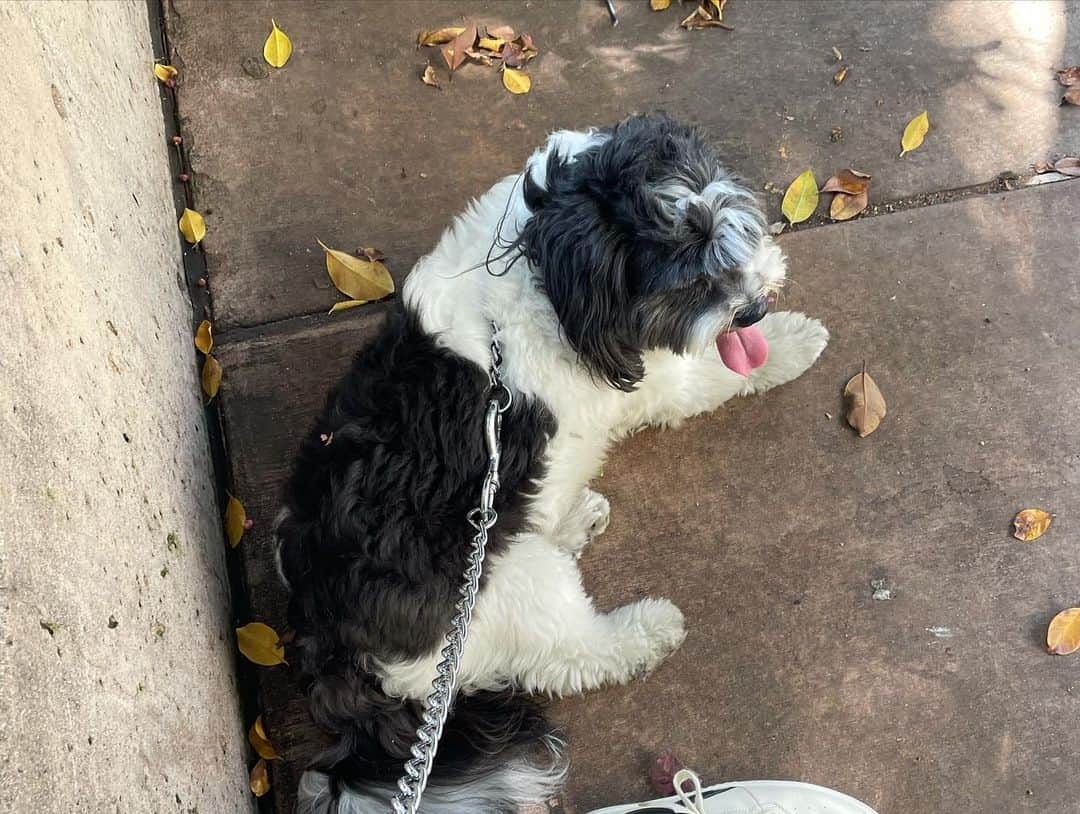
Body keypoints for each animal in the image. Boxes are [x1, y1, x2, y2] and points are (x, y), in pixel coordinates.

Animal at [278, 111, 825, 807]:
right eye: (688, 280)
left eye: (731, 222)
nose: (751, 307)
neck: (547, 264)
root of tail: (335, 653)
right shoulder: (659, 375)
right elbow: (712, 374)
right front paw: (792, 343)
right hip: (510, 589)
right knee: (571, 657)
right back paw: (645, 631)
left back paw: (573, 516)